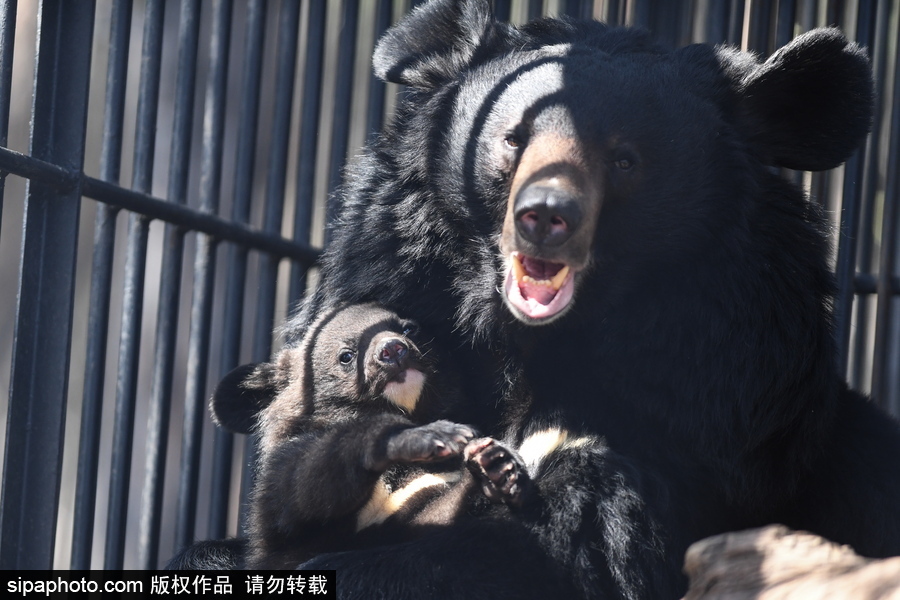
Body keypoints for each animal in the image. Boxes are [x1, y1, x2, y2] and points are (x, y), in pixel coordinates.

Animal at [282, 0, 900, 596]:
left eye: (624, 160)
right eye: (514, 138)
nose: (545, 217)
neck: (533, 341)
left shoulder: (715, 391)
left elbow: (585, 543)